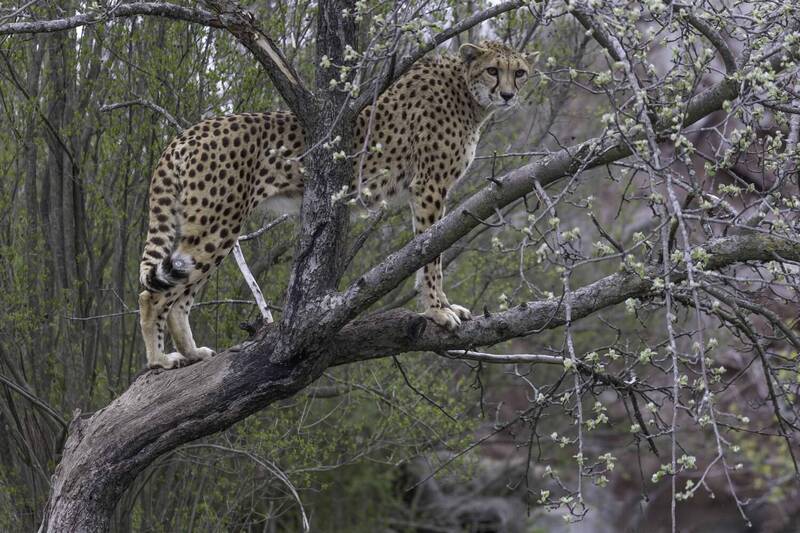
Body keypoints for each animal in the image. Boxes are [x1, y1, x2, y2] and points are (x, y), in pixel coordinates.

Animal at [138, 40, 532, 369]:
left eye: (520, 72)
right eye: (492, 70)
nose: (508, 94)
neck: (467, 92)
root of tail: (187, 133)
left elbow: (427, 253)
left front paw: (443, 306)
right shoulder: (429, 187)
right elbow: (431, 255)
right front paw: (437, 311)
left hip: (205, 225)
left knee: (176, 297)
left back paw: (191, 353)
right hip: (216, 224)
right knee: (153, 295)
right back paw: (159, 360)